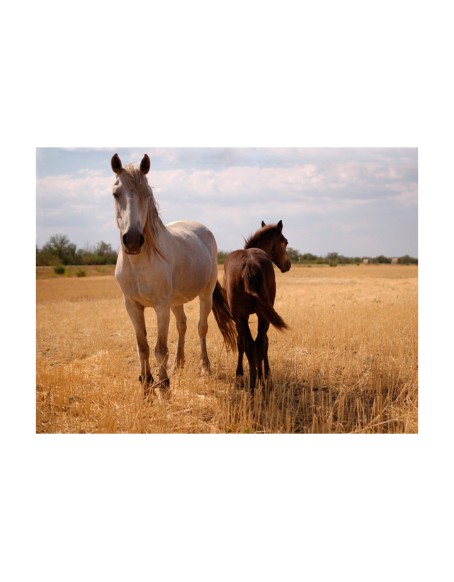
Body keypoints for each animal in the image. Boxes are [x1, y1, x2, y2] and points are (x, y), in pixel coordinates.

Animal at [111, 153, 236, 400]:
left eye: (147, 194)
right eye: (115, 193)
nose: (133, 240)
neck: (141, 263)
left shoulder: (161, 306)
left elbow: (159, 349)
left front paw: (164, 386)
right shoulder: (132, 306)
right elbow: (142, 347)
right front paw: (146, 384)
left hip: (205, 295)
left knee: (201, 327)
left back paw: (204, 367)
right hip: (176, 302)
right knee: (182, 325)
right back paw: (178, 364)